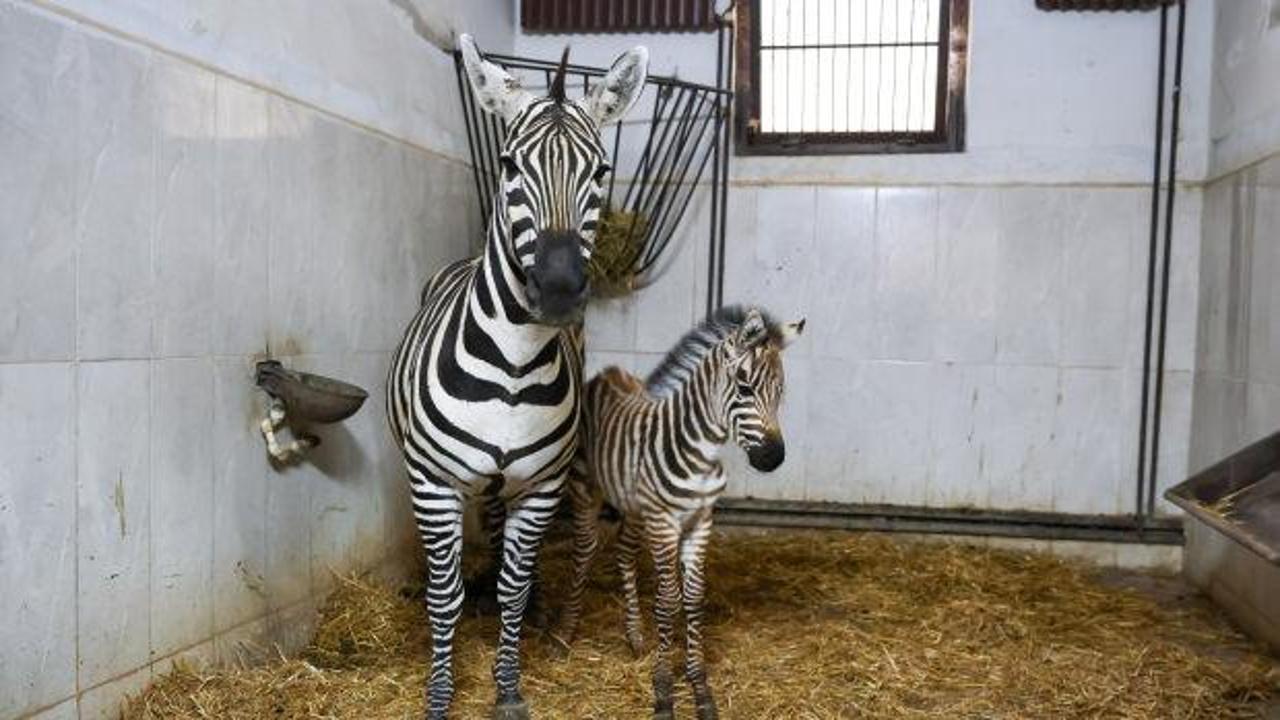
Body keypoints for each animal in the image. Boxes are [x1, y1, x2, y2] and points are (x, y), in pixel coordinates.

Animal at [386, 34, 648, 720]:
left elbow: (514, 583)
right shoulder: (433, 484)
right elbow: (443, 593)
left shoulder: (540, 488)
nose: (556, 289)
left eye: (601, 172)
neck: (512, 367)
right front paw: (440, 697)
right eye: (508, 165)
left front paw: (507, 688)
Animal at [558, 306, 805, 720]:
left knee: (623, 552)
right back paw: (566, 632)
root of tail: (608, 372)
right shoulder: (664, 524)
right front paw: (663, 689)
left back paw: (634, 635)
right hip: (585, 489)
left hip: (634, 506)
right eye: (744, 388)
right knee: (584, 551)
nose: (773, 458)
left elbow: (692, 597)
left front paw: (699, 685)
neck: (700, 454)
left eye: (780, 392)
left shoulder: (700, 521)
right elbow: (668, 600)